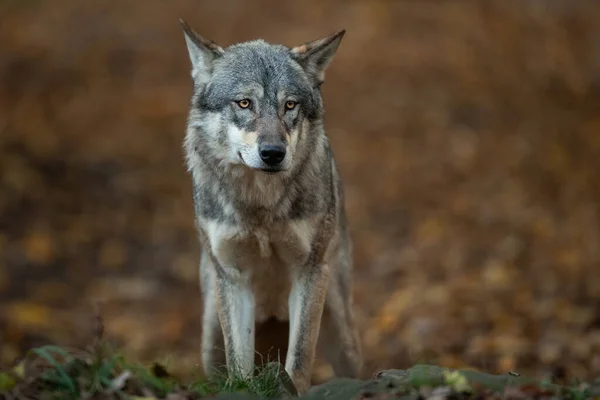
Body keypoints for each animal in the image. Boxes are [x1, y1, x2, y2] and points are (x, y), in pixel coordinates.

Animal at [179, 18, 360, 394]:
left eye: (289, 105)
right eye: (244, 103)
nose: (273, 153)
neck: (260, 207)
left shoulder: (308, 271)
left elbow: (300, 359)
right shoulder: (234, 279)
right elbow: (239, 366)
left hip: (340, 330)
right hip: (210, 334)